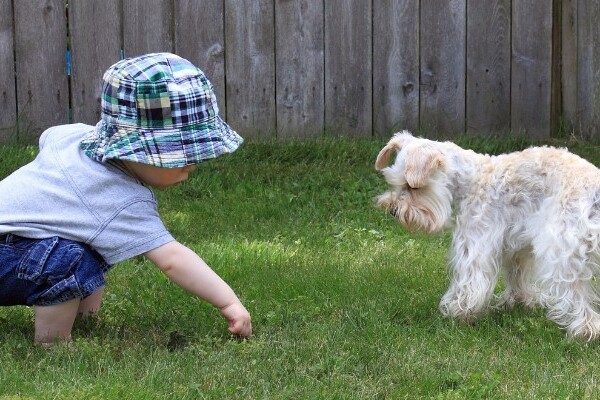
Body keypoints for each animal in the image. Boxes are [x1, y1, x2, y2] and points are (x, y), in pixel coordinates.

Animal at [376, 131, 600, 340]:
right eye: (394, 183)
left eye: (412, 186)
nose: (393, 211)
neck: (469, 181)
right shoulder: (516, 246)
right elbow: (516, 275)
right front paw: (518, 301)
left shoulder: (474, 244)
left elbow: (469, 282)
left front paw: (457, 312)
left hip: (561, 257)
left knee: (576, 294)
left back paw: (585, 330)